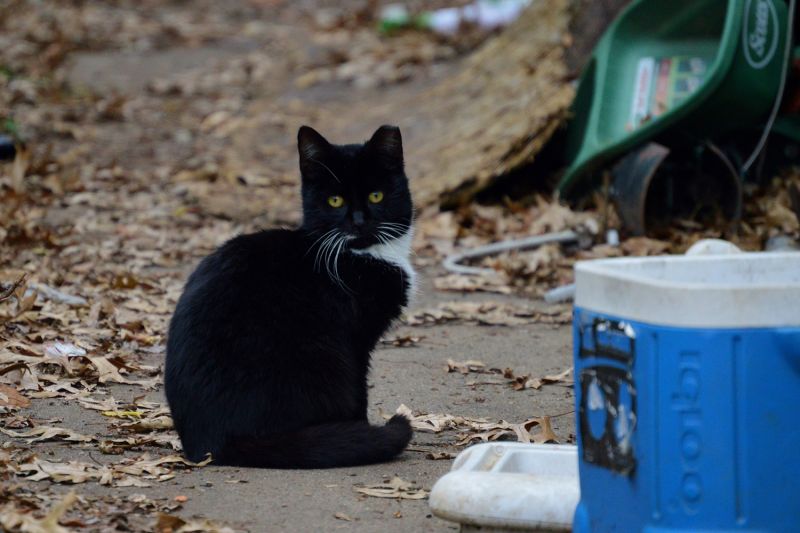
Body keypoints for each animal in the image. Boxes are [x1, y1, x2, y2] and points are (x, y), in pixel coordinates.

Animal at [166, 123, 418, 466]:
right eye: (335, 201)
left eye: (376, 195)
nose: (358, 222)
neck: (362, 256)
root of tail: (212, 443)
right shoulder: (355, 341)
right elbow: (360, 391)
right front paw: (361, 429)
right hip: (322, 356)